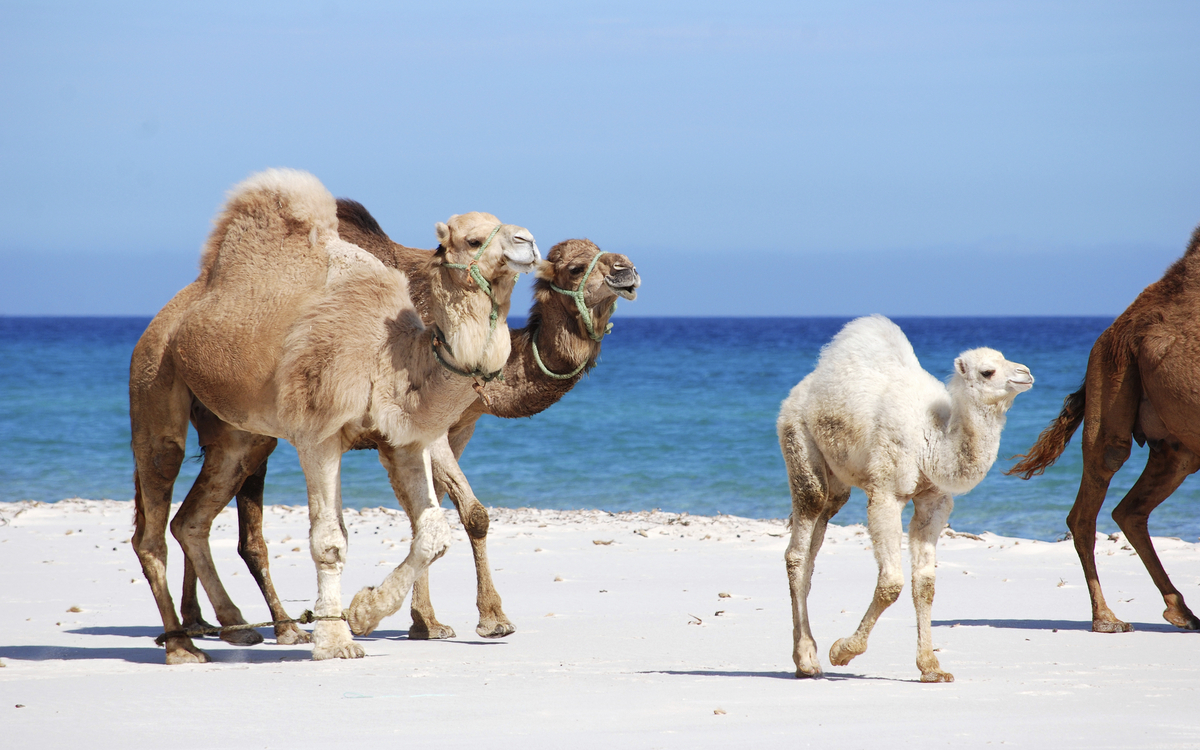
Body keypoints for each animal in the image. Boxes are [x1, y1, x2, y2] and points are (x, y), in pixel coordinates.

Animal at [129, 168, 538, 663]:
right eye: (474, 239)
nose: (528, 240)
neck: (389, 357)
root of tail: (165, 317)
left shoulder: (404, 440)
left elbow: (433, 532)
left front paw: (362, 612)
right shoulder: (318, 435)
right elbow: (329, 540)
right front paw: (336, 641)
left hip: (239, 438)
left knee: (190, 521)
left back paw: (242, 629)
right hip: (153, 381)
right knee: (153, 519)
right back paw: (182, 645)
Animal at [171, 200, 640, 643]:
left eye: (601, 250)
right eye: (576, 267)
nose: (627, 270)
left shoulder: (456, 426)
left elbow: (435, 513)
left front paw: (427, 621)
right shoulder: (421, 428)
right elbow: (471, 514)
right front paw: (487, 619)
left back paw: (201, 621)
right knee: (241, 531)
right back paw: (277, 627)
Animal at [777, 315, 1033, 682]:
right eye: (988, 371)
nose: (1026, 373)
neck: (933, 440)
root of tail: (799, 390)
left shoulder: (934, 501)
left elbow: (925, 583)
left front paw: (931, 667)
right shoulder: (886, 492)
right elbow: (891, 582)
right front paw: (842, 651)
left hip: (837, 482)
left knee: (816, 541)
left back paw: (805, 658)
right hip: (797, 438)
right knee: (801, 540)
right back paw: (809, 660)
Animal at [1008, 224, 1200, 634]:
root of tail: (1114, 327)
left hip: (1177, 444)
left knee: (1130, 508)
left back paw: (1180, 611)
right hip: (1111, 373)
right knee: (1095, 492)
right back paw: (1107, 618)